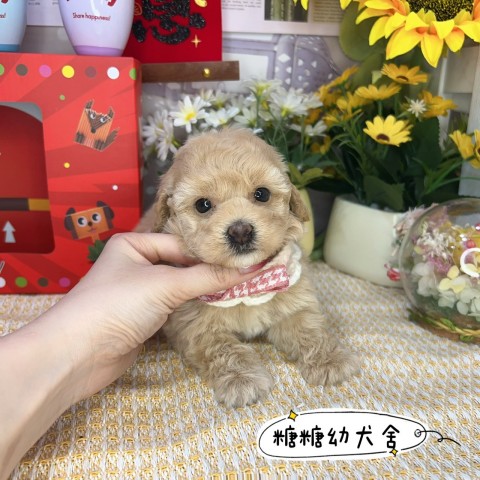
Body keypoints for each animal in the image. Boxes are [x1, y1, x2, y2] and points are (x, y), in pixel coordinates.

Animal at [138, 128, 359, 408]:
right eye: (203, 205)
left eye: (262, 194)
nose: (240, 231)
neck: (246, 285)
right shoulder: (194, 326)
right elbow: (223, 348)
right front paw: (241, 380)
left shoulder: (294, 303)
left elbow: (310, 328)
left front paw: (331, 360)